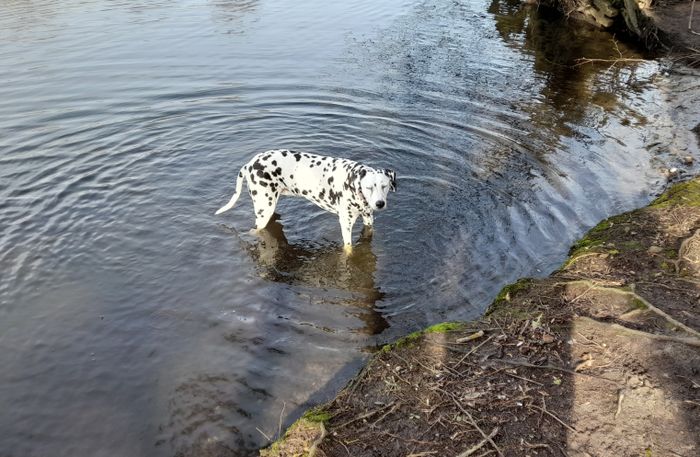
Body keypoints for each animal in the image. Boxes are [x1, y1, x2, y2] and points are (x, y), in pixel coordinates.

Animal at [213, 149, 396, 249]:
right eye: (369, 187)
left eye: (385, 186)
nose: (380, 203)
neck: (352, 182)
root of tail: (249, 164)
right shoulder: (346, 224)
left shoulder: (368, 219)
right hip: (264, 211)